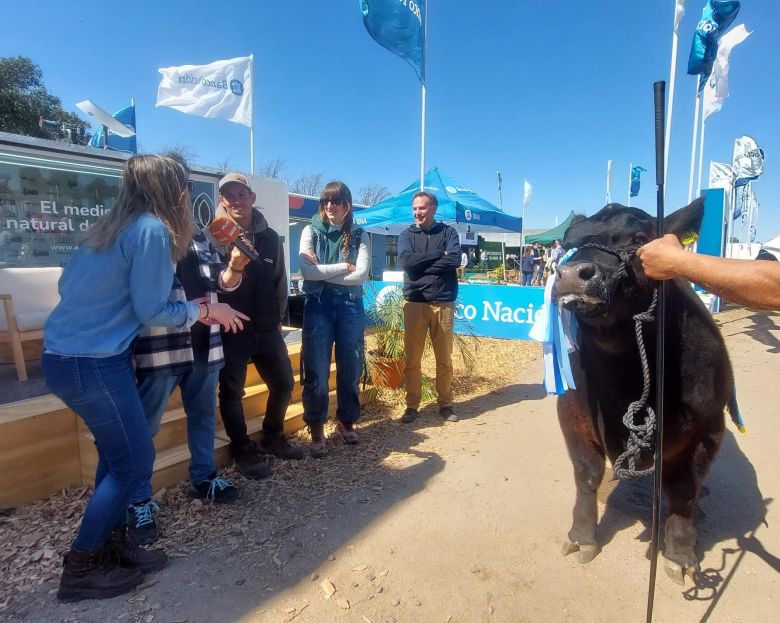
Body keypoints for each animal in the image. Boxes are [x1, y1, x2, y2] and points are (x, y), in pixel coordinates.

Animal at [556, 200, 732, 584]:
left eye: (639, 238)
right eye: (567, 243)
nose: (573, 273)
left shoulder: (708, 429)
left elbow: (683, 491)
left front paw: (679, 553)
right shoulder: (571, 415)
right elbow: (587, 474)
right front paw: (581, 536)